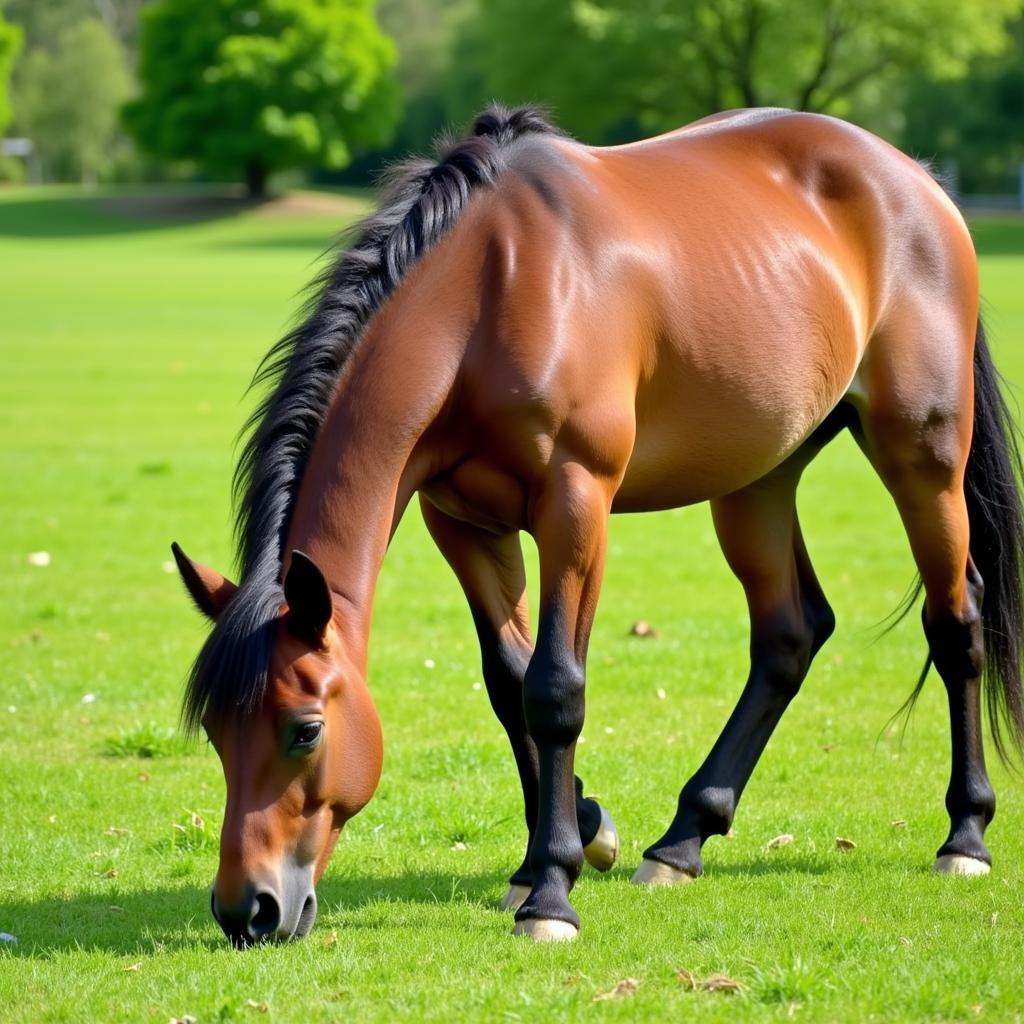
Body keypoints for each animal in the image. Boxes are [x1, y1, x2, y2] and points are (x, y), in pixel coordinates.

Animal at [174, 103, 1024, 942]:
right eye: (216, 732)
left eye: (306, 729)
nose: (247, 909)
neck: (492, 292)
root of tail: (917, 179)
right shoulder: (464, 524)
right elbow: (510, 682)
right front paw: (570, 841)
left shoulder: (575, 503)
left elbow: (555, 689)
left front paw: (551, 892)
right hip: (757, 481)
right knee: (790, 634)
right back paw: (682, 841)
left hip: (921, 454)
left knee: (957, 620)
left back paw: (965, 837)